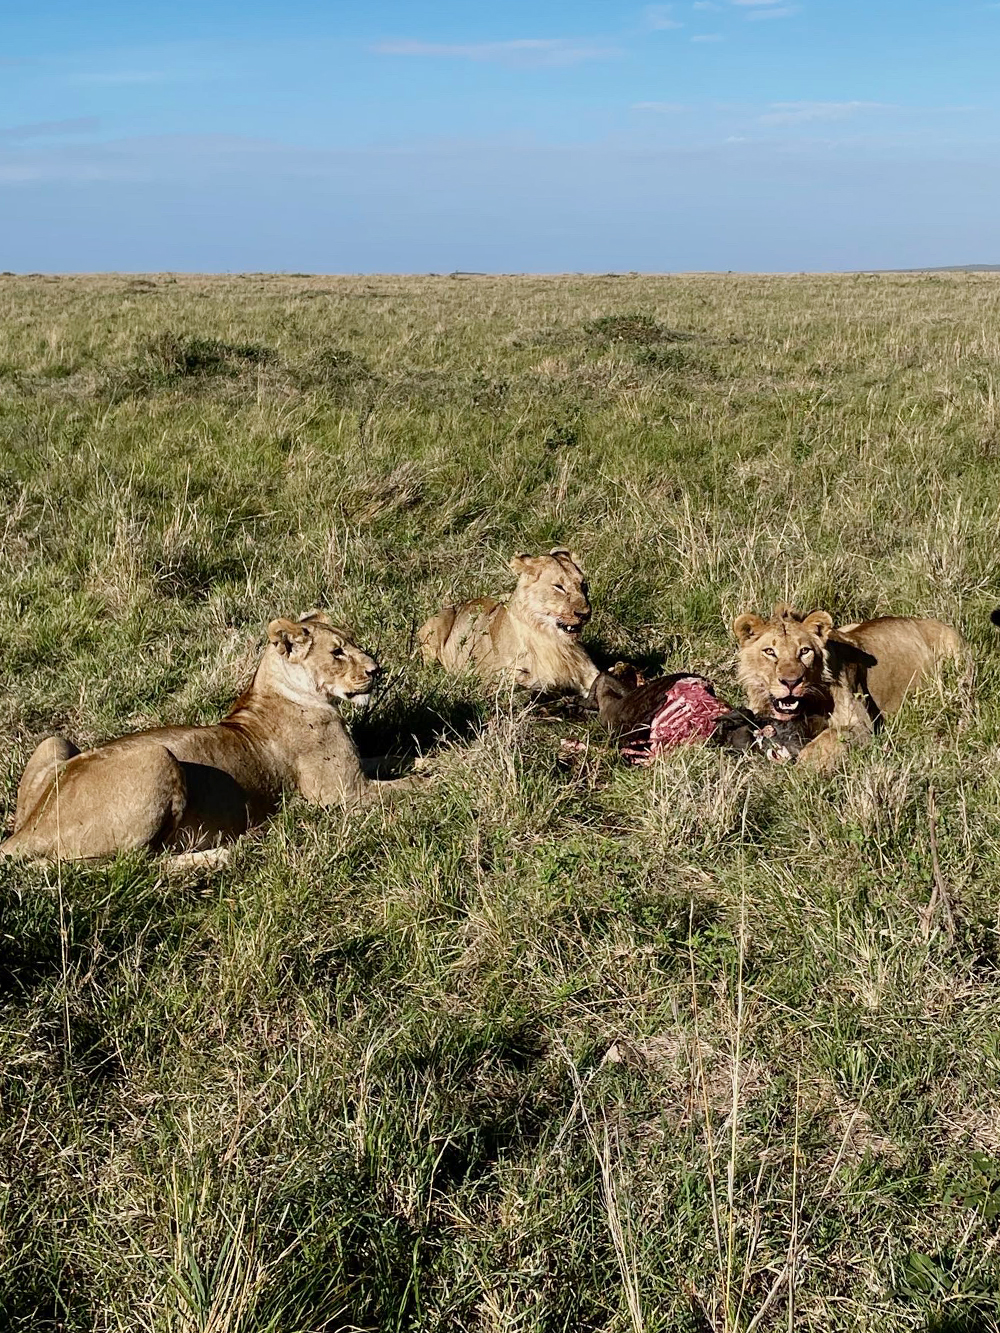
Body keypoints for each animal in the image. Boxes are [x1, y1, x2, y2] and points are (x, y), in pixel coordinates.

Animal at [0, 613, 416, 863]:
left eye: (353, 641)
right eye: (337, 652)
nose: (377, 670)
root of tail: (26, 831)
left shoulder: (357, 769)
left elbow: (394, 756)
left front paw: (428, 754)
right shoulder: (344, 793)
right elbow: (409, 787)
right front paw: (432, 782)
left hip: (54, 742)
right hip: (156, 756)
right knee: (135, 866)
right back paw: (225, 853)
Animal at [418, 546, 600, 698]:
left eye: (583, 585)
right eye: (559, 587)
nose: (585, 614)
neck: (552, 639)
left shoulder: (588, 673)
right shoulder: (493, 680)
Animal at [736, 602, 965, 773]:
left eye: (804, 651)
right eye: (769, 651)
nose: (791, 682)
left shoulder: (863, 726)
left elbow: (830, 735)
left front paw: (804, 767)